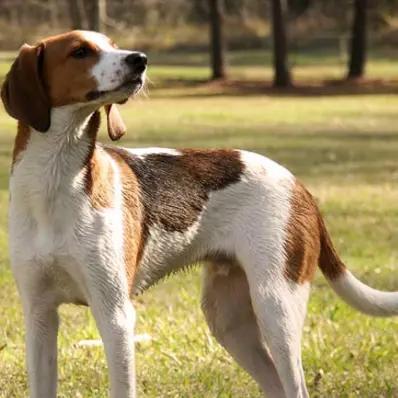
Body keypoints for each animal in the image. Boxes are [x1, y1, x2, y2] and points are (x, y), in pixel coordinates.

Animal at [0, 31, 398, 398]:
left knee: (295, 385)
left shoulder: (114, 315)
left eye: (112, 44)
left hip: (276, 307)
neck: (55, 181)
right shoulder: (39, 316)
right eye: (80, 51)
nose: (139, 59)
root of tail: (299, 185)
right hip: (228, 318)